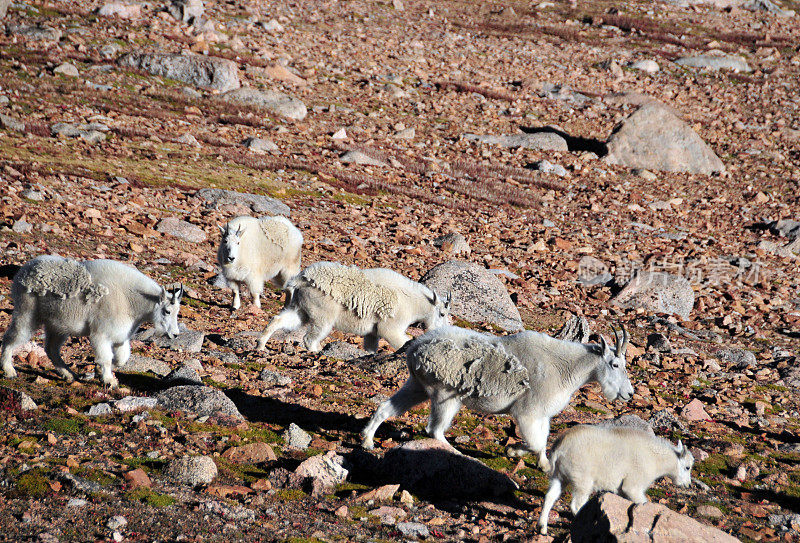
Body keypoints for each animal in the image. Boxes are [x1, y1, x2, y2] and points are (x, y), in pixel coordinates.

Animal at [0, 258, 183, 388]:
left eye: (177, 312)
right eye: (167, 311)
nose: (175, 334)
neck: (131, 300)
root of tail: (22, 272)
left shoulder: (120, 336)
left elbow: (121, 359)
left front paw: (97, 371)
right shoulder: (101, 334)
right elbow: (106, 357)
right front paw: (109, 381)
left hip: (57, 325)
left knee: (51, 348)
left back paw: (68, 375)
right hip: (27, 312)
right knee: (11, 337)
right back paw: (9, 370)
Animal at [256, 262, 450, 352]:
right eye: (442, 313)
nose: (442, 330)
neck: (413, 302)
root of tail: (302, 279)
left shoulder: (373, 332)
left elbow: (371, 348)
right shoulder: (391, 327)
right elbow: (402, 340)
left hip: (300, 308)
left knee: (280, 320)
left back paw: (260, 344)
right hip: (323, 314)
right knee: (310, 338)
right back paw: (317, 352)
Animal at [360, 324, 636, 472]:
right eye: (615, 364)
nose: (629, 393)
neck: (565, 366)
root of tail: (415, 349)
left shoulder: (542, 416)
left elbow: (542, 442)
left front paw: (543, 465)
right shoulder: (527, 412)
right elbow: (535, 442)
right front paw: (513, 451)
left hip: (417, 385)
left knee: (386, 407)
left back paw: (367, 441)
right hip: (446, 395)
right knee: (434, 430)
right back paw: (459, 454)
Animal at [536, 424, 692, 536]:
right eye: (687, 467)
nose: (687, 484)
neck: (655, 459)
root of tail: (559, 450)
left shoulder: (621, 491)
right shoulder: (633, 486)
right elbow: (642, 502)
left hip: (559, 476)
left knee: (550, 496)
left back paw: (542, 528)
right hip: (582, 480)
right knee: (576, 504)